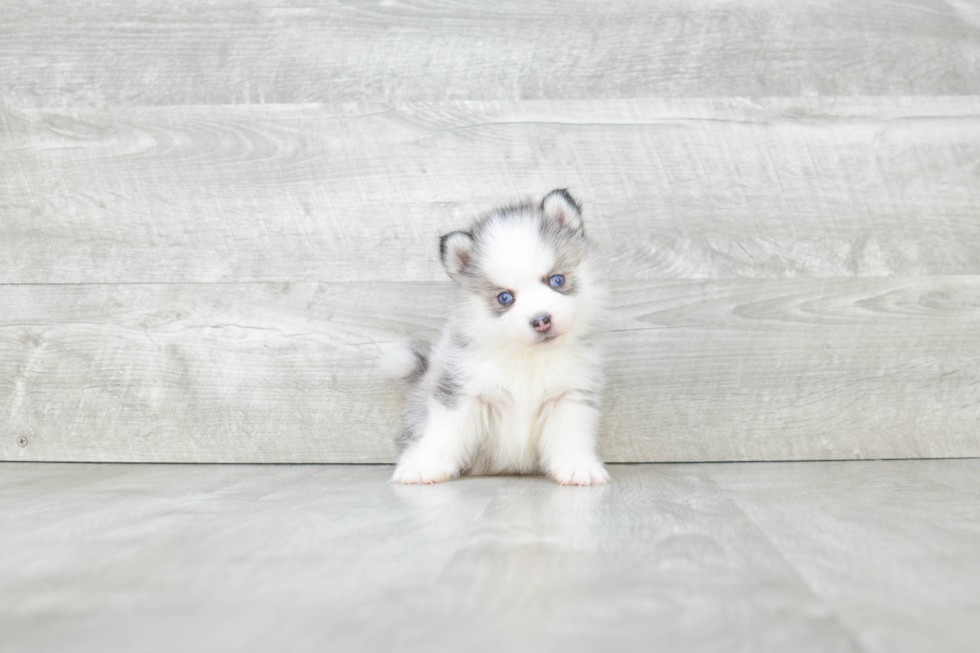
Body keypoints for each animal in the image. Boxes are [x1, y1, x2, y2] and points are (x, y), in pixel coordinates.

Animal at [384, 188, 608, 484]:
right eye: (505, 297)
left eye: (557, 280)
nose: (541, 320)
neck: (528, 359)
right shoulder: (462, 391)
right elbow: (444, 434)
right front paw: (425, 465)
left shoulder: (569, 395)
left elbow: (571, 435)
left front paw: (577, 467)